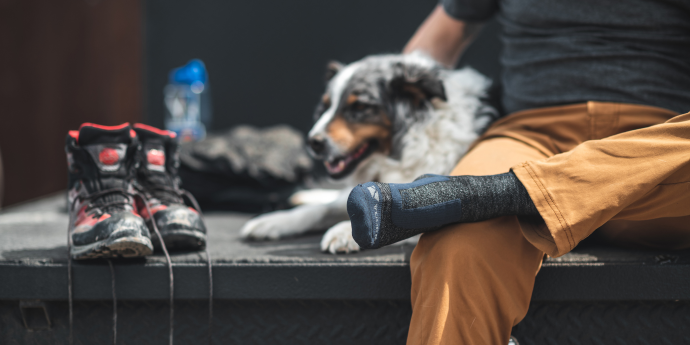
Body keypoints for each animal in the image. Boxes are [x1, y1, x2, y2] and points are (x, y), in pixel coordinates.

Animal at [239, 53, 492, 253]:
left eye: (359, 106)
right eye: (326, 106)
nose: (313, 142)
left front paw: (346, 232)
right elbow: (320, 210)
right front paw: (273, 221)